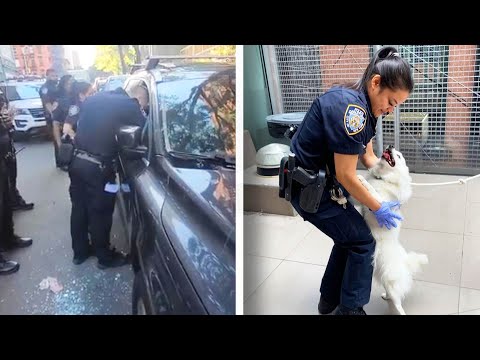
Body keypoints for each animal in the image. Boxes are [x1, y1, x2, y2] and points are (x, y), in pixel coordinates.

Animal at [356, 146, 428, 316]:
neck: (382, 178)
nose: (390, 146)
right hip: (386, 280)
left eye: (399, 156)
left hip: (391, 281)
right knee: (391, 296)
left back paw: (399, 310)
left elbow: (372, 193)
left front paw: (362, 180)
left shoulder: (380, 204)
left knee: (398, 302)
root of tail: (406, 263)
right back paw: (385, 296)